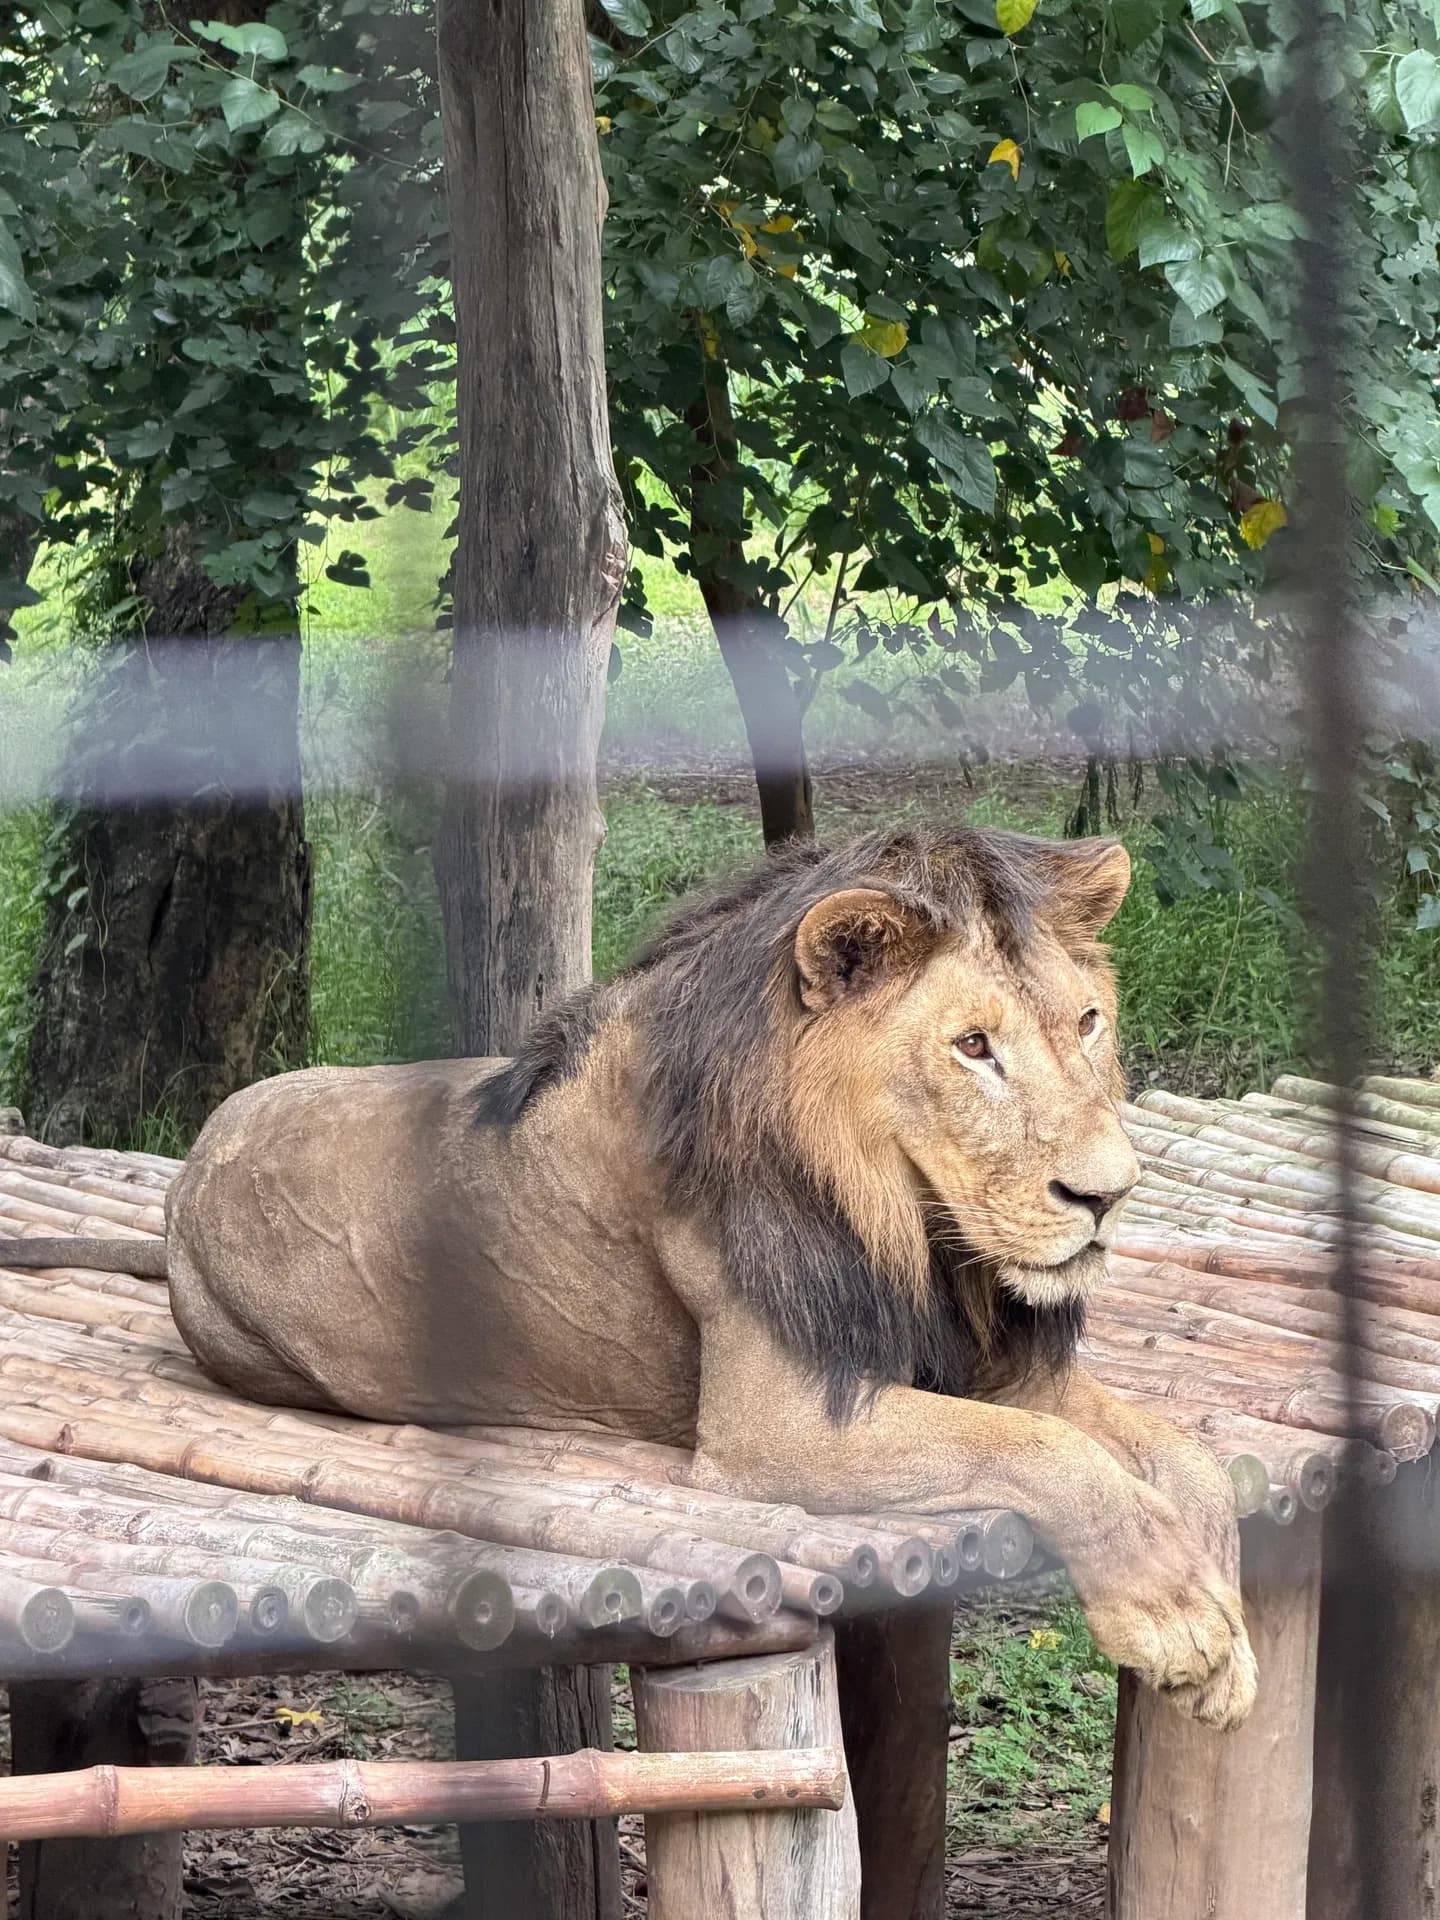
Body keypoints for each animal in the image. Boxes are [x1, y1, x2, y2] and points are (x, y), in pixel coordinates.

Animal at [1, 826, 1255, 1727]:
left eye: (1085, 1023)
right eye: (973, 1046)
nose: (1109, 1194)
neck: (915, 1234)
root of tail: (181, 1185)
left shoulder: (984, 1366)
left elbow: (1180, 1454)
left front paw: (1229, 1635)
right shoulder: (778, 1427)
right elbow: (1051, 1454)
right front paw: (1173, 1619)